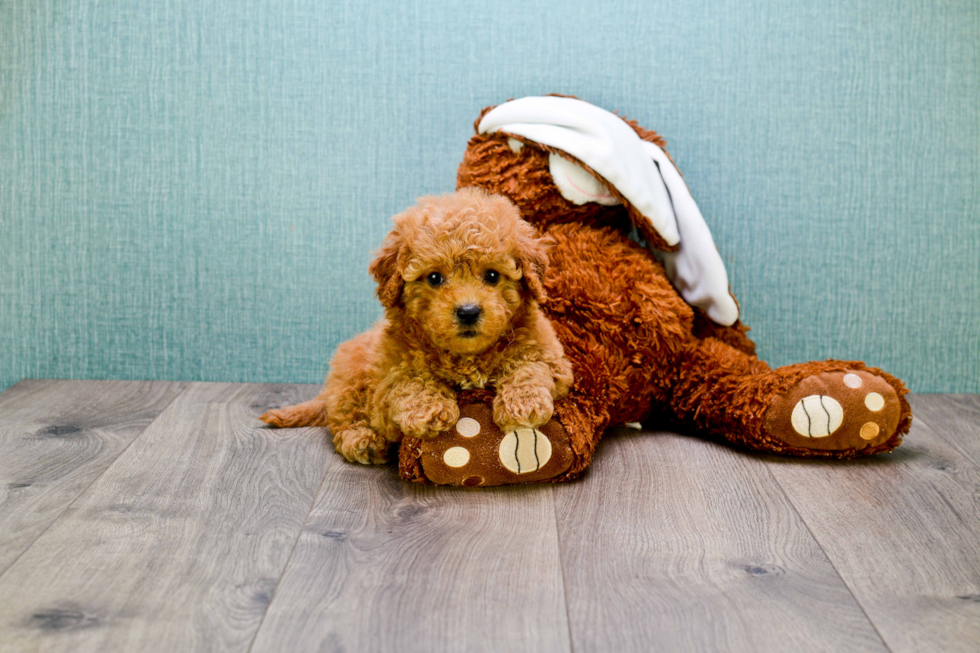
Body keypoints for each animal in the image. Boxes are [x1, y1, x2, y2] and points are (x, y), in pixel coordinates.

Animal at [260, 187, 576, 464]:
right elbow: (411, 380)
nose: (468, 311)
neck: (467, 356)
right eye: (434, 278)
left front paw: (522, 404)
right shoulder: (388, 376)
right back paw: (363, 441)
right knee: (343, 418)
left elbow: (528, 366)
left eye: (492, 275)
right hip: (351, 379)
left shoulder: (551, 356)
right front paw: (428, 411)